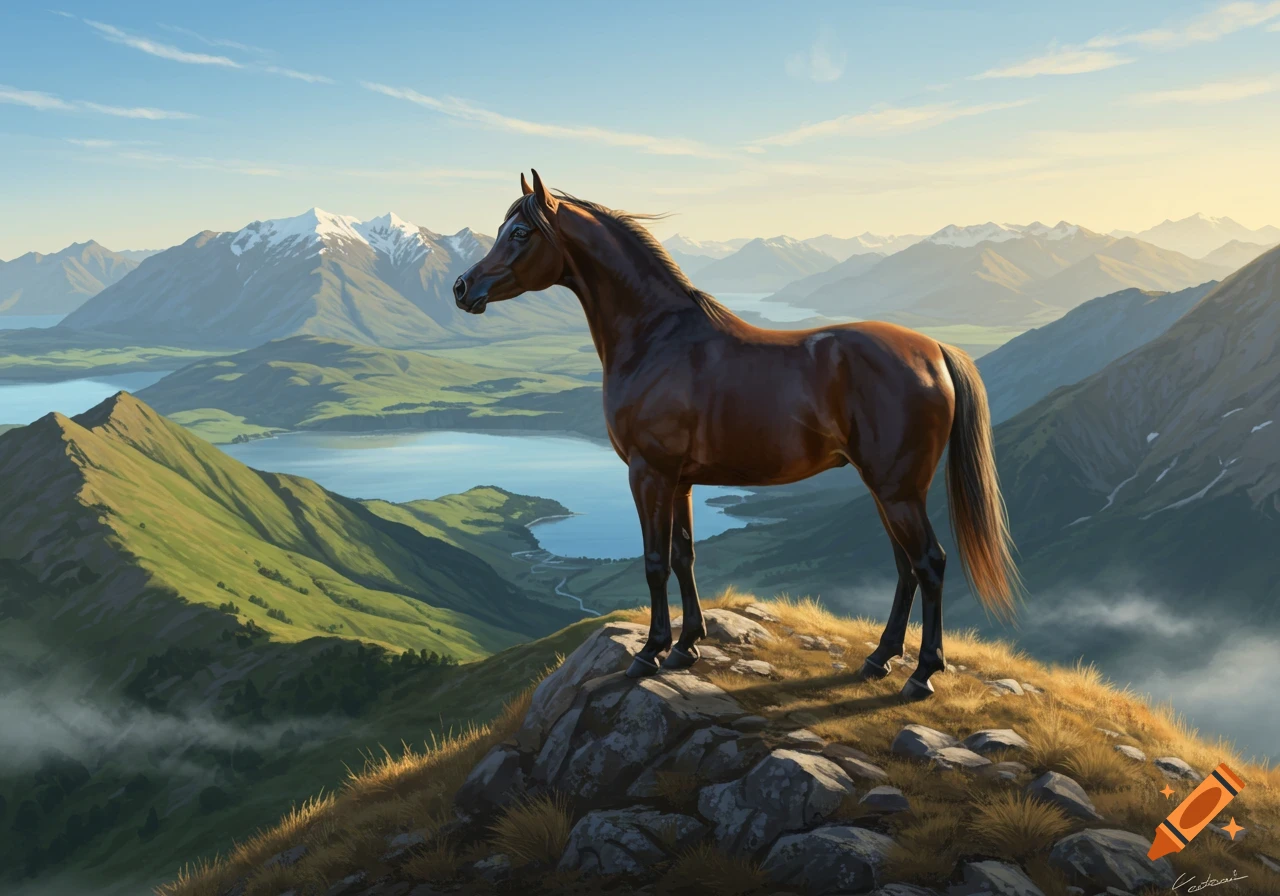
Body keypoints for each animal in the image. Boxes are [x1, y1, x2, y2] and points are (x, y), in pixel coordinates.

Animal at [454, 170, 1019, 700]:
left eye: (520, 232)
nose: (462, 287)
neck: (657, 338)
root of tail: (936, 351)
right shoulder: (679, 481)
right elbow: (683, 556)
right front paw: (685, 646)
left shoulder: (649, 474)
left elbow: (654, 563)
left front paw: (649, 653)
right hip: (886, 489)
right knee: (904, 568)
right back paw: (878, 659)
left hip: (898, 490)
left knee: (929, 564)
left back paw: (921, 675)